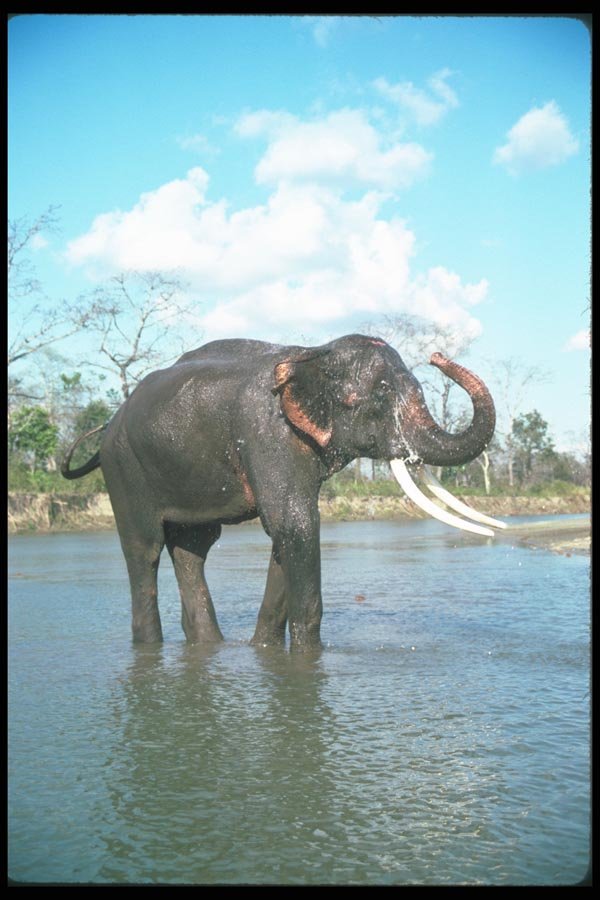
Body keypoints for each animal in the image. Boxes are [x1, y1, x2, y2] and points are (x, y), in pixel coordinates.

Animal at [62, 334, 505, 651]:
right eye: (379, 395)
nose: (437, 356)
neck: (312, 353)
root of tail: (108, 425)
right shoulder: (267, 431)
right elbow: (296, 525)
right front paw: (309, 657)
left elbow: (288, 534)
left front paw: (264, 650)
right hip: (124, 469)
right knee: (145, 551)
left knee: (193, 547)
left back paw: (211, 646)